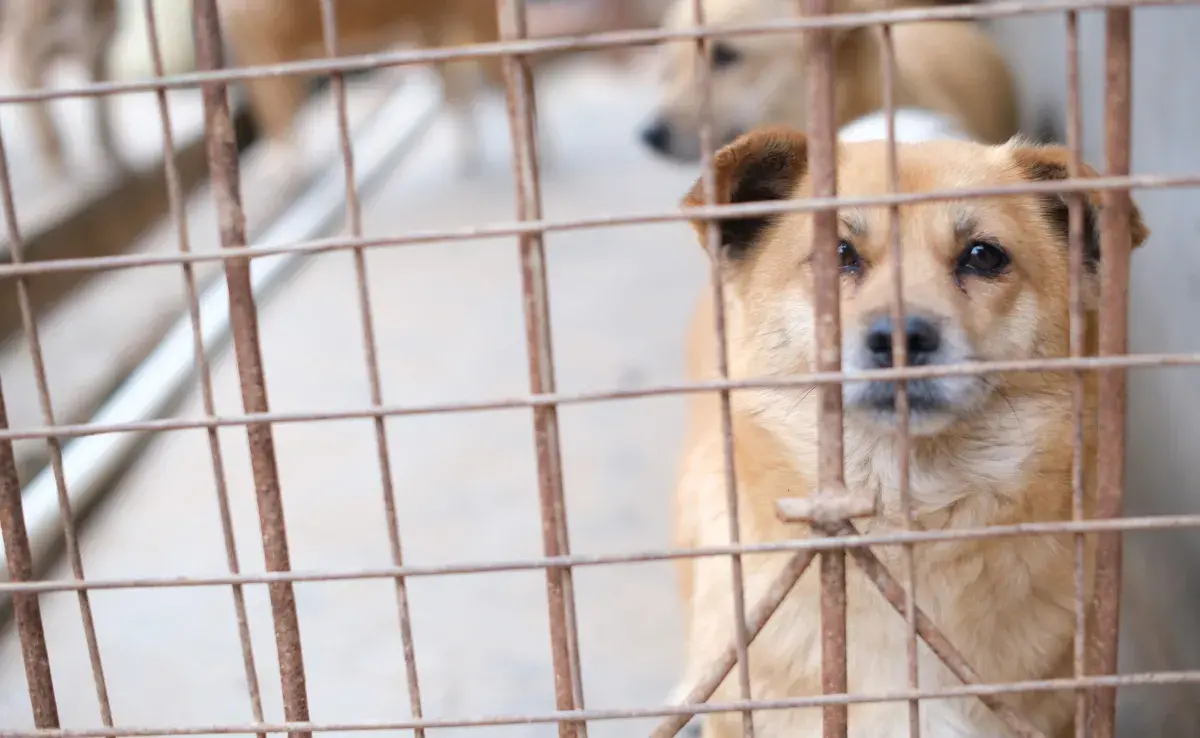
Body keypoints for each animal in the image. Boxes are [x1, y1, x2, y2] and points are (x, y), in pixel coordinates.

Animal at [2, 0, 121, 177]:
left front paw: (115, 160)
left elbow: (102, 118)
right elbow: (47, 127)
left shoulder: (97, 53)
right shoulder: (25, 62)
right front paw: (59, 171)